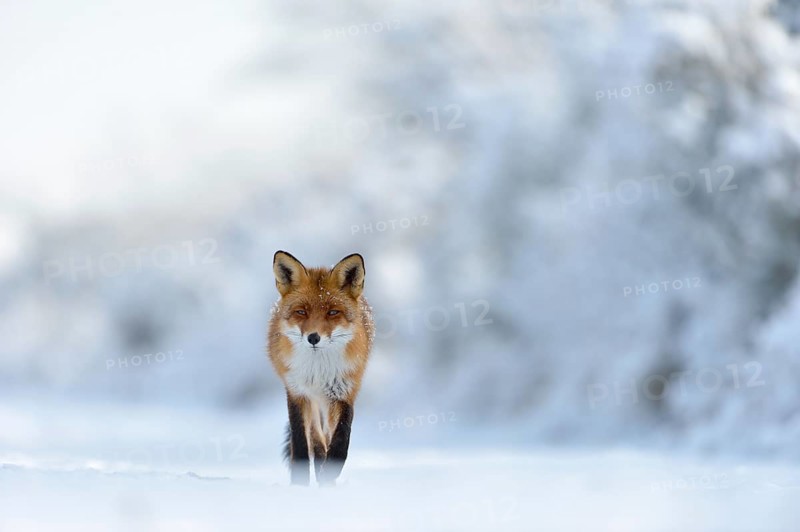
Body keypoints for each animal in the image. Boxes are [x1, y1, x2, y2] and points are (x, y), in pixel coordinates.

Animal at [267, 251, 374, 486]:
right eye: (301, 312)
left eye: (333, 312)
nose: (313, 338)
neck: (318, 371)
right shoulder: (297, 392)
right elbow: (300, 445)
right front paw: (299, 485)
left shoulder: (344, 392)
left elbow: (342, 438)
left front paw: (330, 473)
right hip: (313, 402)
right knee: (316, 441)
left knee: (324, 438)